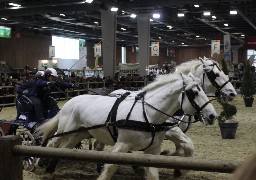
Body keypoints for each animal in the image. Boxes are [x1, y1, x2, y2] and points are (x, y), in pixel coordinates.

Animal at [36, 71, 216, 180]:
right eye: (194, 92)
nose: (212, 115)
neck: (148, 115)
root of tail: (71, 100)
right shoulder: (122, 145)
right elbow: (110, 168)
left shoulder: (153, 150)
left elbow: (154, 172)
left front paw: (178, 168)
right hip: (66, 130)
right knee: (52, 143)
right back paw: (40, 163)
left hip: (79, 133)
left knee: (65, 149)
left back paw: (50, 170)